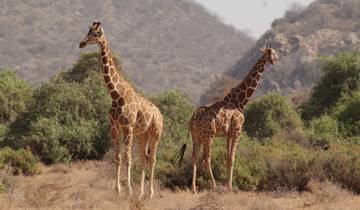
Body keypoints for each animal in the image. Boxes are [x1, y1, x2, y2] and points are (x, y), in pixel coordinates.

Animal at [80, 21, 163, 199]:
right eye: (87, 32)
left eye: (95, 34)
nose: (81, 43)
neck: (116, 94)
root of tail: (160, 114)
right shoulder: (114, 127)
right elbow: (118, 157)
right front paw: (118, 190)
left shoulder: (128, 127)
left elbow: (128, 158)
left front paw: (128, 190)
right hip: (143, 135)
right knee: (144, 157)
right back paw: (141, 193)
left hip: (155, 133)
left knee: (152, 158)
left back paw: (150, 193)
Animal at [188, 45, 278, 193]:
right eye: (273, 53)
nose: (275, 61)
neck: (239, 102)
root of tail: (193, 120)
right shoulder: (237, 130)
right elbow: (233, 157)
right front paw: (229, 187)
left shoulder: (228, 134)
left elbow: (228, 158)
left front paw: (228, 185)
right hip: (208, 136)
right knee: (206, 158)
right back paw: (214, 186)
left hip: (196, 136)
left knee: (194, 157)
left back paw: (193, 188)